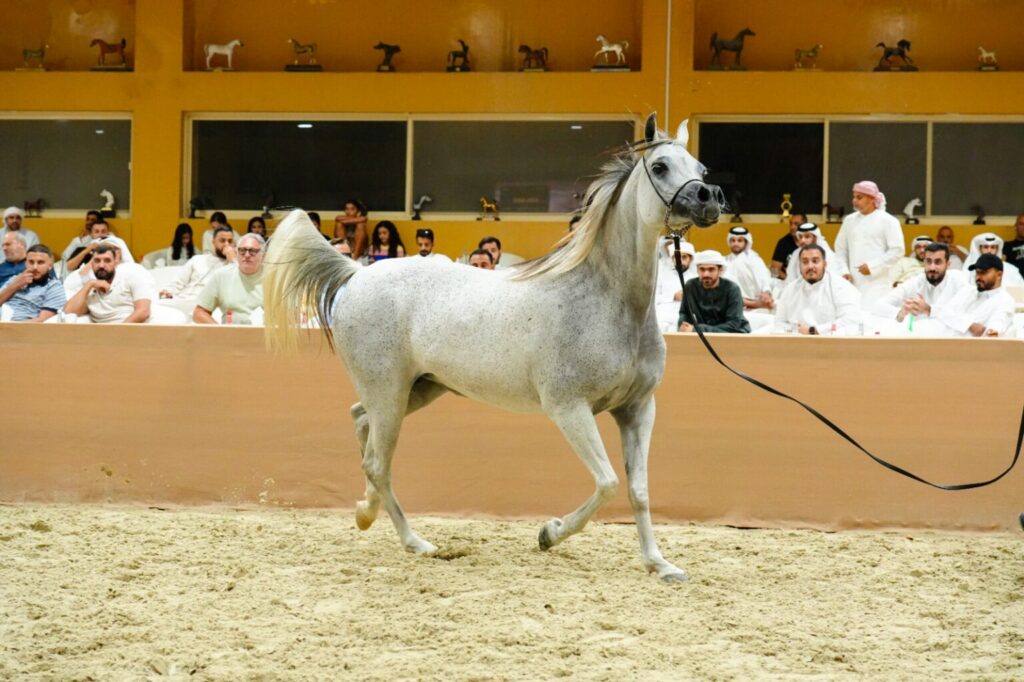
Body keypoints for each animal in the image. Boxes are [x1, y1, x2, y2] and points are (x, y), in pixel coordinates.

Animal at [263, 113, 724, 582]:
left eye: (701, 168)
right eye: (661, 166)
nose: (709, 198)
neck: (608, 301)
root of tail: (356, 273)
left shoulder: (637, 409)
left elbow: (638, 489)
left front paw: (659, 564)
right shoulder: (569, 408)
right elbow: (608, 482)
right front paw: (549, 533)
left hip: (418, 389)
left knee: (361, 426)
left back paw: (380, 519)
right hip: (388, 392)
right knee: (378, 461)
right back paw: (398, 531)